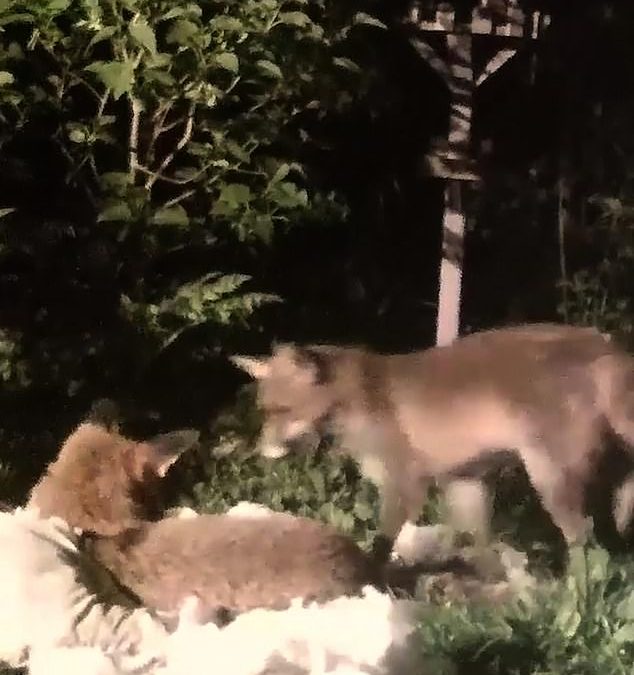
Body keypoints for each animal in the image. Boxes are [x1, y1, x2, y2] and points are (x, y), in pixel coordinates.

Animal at [230, 322, 634, 557]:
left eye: (282, 411)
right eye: (264, 411)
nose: (262, 452)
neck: (364, 397)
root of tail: (607, 346)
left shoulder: (404, 482)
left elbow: (380, 545)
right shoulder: (465, 479)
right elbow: (478, 542)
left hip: (550, 476)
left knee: (583, 536)